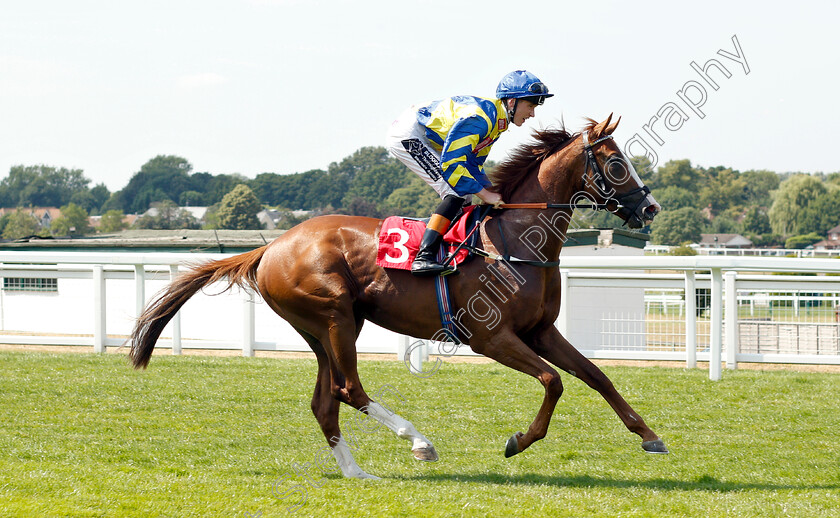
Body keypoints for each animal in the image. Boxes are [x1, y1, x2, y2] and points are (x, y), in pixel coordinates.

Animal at [131, 116, 668, 482]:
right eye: (615, 162)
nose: (650, 208)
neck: (514, 240)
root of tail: (272, 245)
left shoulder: (540, 330)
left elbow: (596, 375)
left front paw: (649, 436)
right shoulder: (490, 337)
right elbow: (553, 381)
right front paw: (518, 441)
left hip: (323, 329)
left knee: (325, 401)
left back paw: (356, 472)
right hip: (335, 316)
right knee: (350, 390)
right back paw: (420, 443)